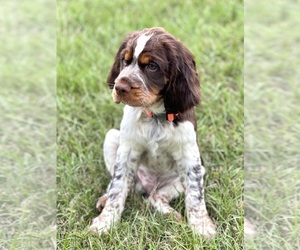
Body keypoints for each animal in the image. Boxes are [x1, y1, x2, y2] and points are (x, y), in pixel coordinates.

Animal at [90, 26, 217, 237]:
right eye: (125, 61)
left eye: (151, 66)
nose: (119, 87)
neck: (155, 115)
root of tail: (149, 185)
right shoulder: (127, 151)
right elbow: (117, 187)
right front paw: (104, 223)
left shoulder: (190, 156)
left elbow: (195, 195)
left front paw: (202, 227)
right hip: (112, 138)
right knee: (128, 185)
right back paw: (105, 198)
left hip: (189, 175)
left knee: (154, 197)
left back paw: (170, 214)